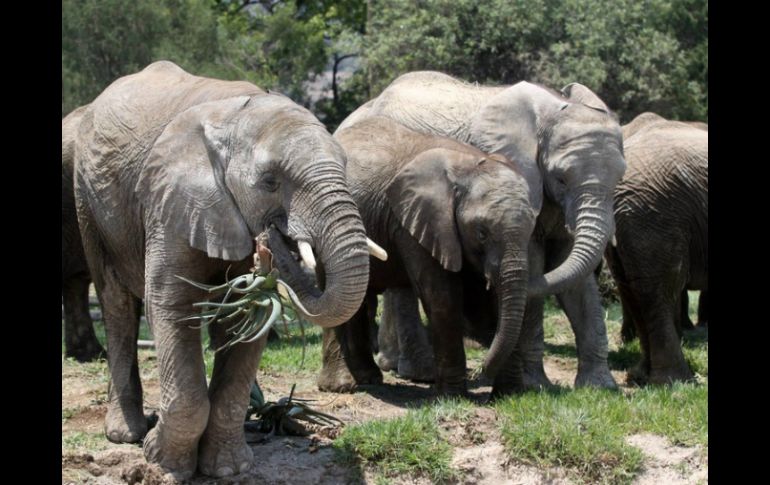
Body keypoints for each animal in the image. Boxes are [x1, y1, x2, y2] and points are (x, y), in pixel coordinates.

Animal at [73, 60, 380, 476]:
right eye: (269, 182)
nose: (272, 240)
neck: (235, 116)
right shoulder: (168, 200)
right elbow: (171, 306)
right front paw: (162, 463)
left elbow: (246, 322)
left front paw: (228, 469)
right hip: (87, 201)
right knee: (117, 303)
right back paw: (126, 434)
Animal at [318, 115, 536, 396]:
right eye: (482, 233)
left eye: (532, 228)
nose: (481, 370)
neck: (468, 165)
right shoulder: (415, 222)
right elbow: (444, 298)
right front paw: (452, 396)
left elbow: (485, 303)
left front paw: (510, 394)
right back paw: (341, 386)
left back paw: (368, 378)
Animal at [344, 71, 628, 390]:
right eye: (561, 178)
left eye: (620, 178)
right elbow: (537, 264)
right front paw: (535, 385)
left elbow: (576, 282)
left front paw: (600, 387)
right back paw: (419, 373)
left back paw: (398, 366)